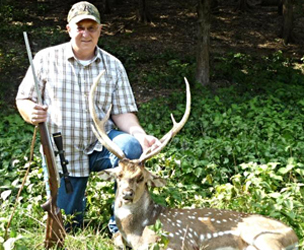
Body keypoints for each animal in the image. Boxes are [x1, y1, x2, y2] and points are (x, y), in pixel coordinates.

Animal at [88, 70, 300, 250]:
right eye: (119, 176)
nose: (127, 194)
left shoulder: (177, 241)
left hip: (264, 238)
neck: (137, 233)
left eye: (141, 177)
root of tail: (294, 236)